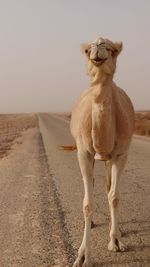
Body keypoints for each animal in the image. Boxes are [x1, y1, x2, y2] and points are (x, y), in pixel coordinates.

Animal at [63, 37, 135, 267]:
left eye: (111, 49)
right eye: (87, 50)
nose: (98, 48)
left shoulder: (121, 154)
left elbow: (114, 196)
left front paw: (116, 241)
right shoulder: (83, 153)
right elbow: (88, 203)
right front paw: (83, 256)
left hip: (109, 158)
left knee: (108, 187)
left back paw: (115, 229)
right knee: (93, 185)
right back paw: (93, 222)